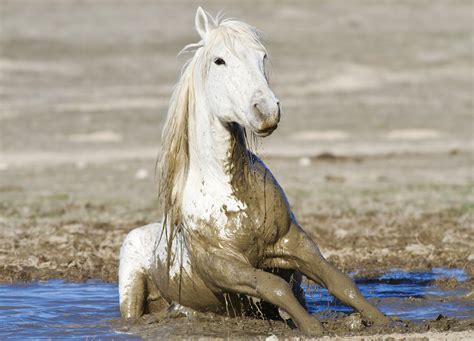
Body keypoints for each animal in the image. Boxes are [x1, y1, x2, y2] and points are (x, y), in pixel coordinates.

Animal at [118, 7, 388, 334]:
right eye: (219, 60)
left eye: (262, 56)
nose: (267, 111)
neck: (231, 192)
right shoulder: (223, 265)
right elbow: (272, 286)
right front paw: (313, 328)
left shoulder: (291, 241)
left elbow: (339, 281)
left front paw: (384, 321)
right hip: (131, 287)